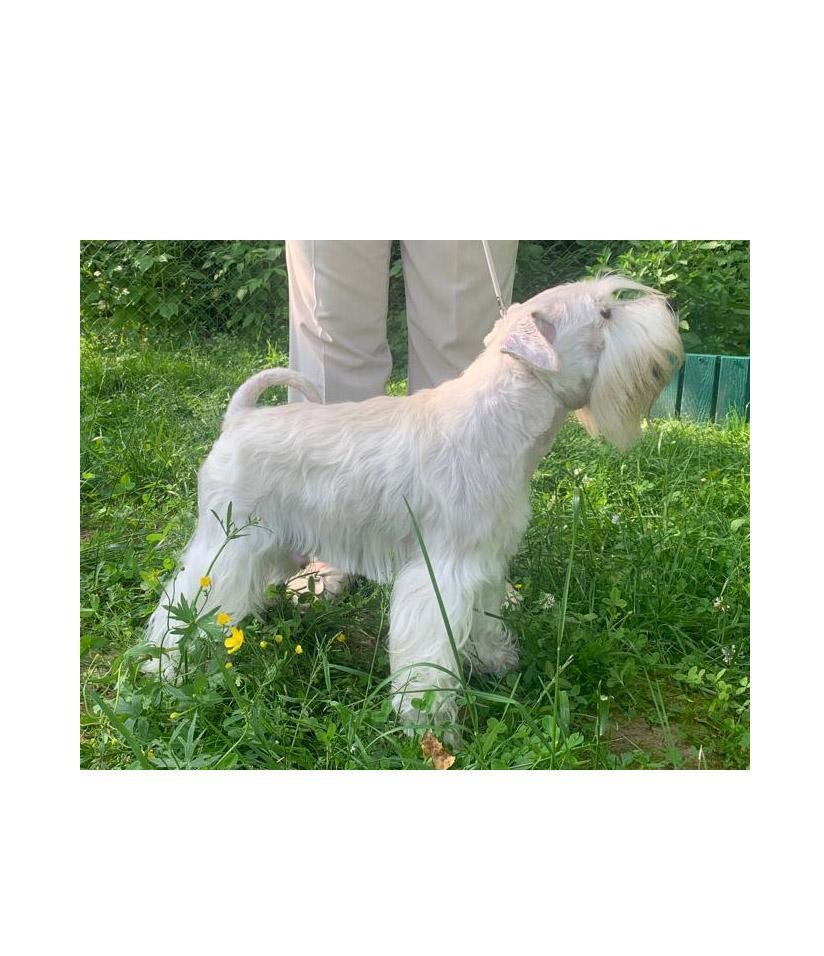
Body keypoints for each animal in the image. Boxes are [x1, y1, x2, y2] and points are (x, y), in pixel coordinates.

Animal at [143, 275, 683, 732]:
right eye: (605, 313)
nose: (671, 308)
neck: (499, 418)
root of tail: (239, 418)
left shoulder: (484, 563)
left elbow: (485, 620)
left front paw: (496, 662)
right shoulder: (442, 571)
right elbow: (430, 652)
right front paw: (427, 720)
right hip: (226, 545)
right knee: (184, 602)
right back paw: (166, 668)